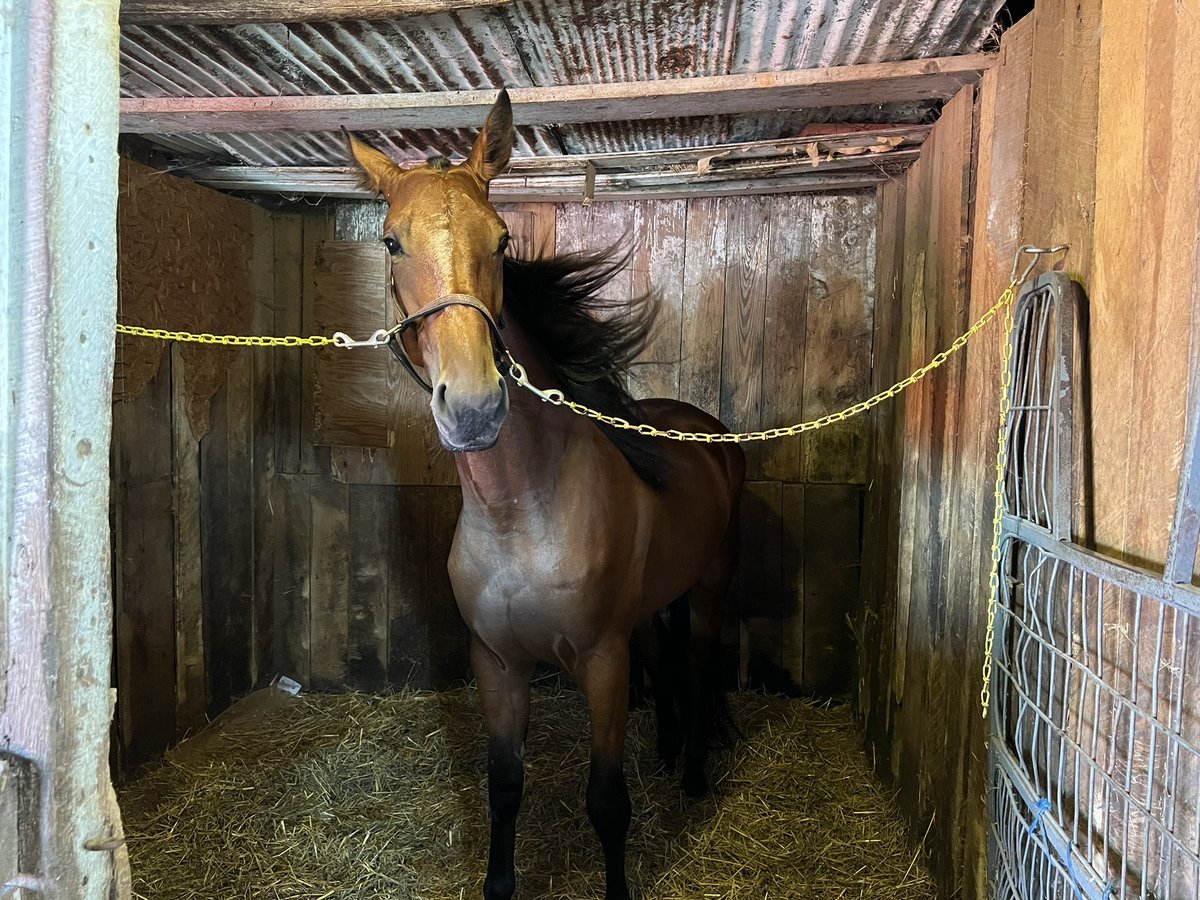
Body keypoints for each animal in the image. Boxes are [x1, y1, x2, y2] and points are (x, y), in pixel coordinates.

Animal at [347, 89, 746, 900]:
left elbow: (607, 801)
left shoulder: (602, 661)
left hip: (710, 588)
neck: (518, 516)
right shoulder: (496, 664)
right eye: (392, 242)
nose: (473, 408)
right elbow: (504, 786)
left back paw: (691, 774)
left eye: (502, 240)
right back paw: (667, 749)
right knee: (665, 657)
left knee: (693, 666)